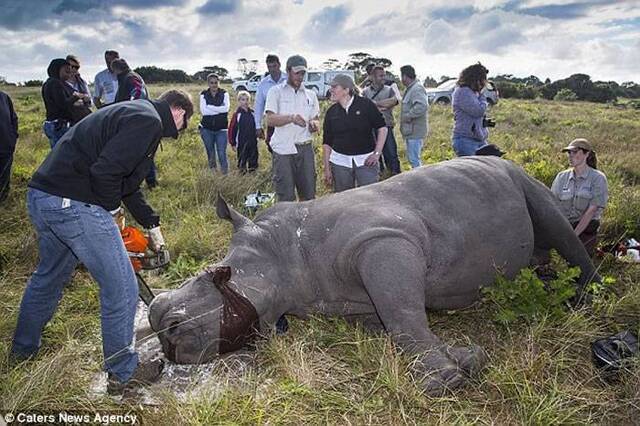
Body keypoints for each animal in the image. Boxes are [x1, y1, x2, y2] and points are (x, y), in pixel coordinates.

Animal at [148, 158, 596, 394]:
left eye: (211, 278)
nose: (164, 331)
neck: (278, 250)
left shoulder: (385, 238)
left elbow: (402, 312)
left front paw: (445, 379)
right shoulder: (349, 300)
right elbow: (394, 322)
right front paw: (465, 358)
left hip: (523, 177)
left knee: (555, 219)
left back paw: (582, 299)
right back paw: (544, 278)